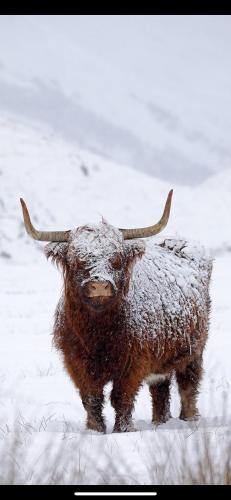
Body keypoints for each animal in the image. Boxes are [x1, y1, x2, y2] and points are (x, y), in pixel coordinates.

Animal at [20, 192, 213, 434]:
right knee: (160, 390)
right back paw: (159, 423)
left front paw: (123, 430)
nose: (99, 285)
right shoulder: (77, 364)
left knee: (188, 385)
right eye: (78, 260)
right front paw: (95, 430)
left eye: (117, 258)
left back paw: (189, 420)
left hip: (194, 349)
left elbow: (121, 397)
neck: (98, 332)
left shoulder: (134, 364)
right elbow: (91, 399)